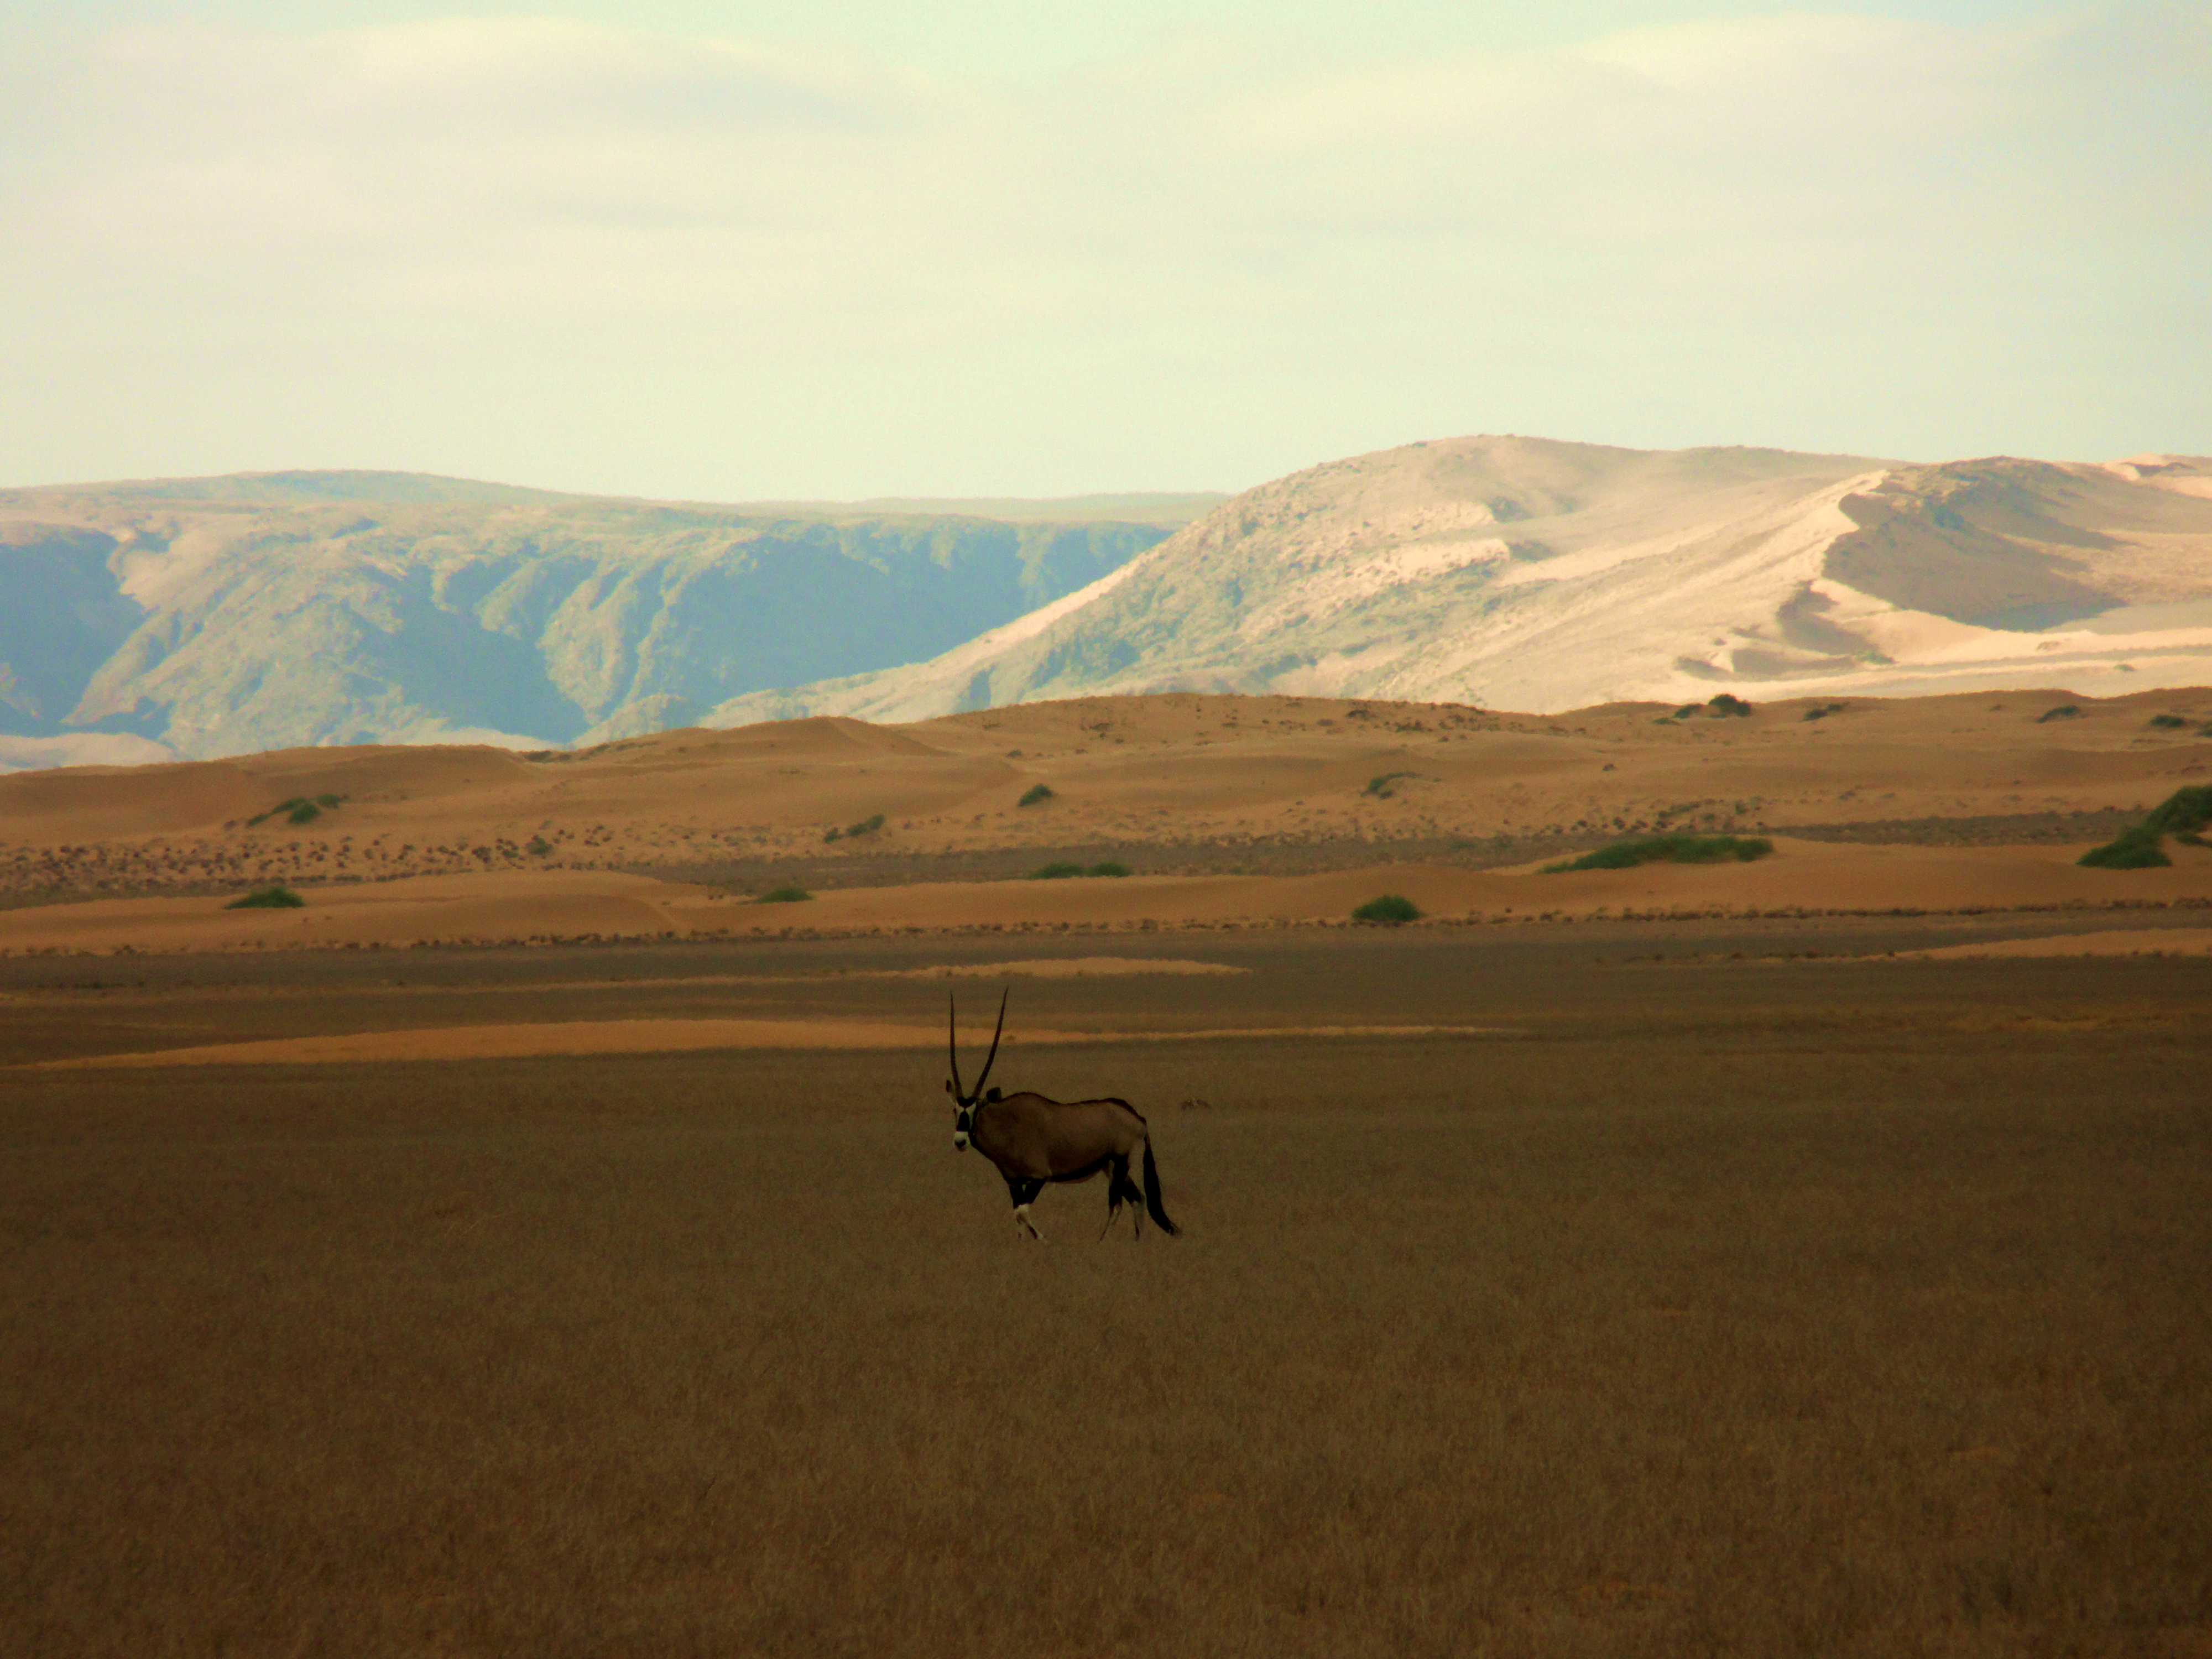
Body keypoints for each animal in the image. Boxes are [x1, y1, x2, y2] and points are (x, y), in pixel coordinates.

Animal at [946, 991, 1179, 1243]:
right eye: (955, 1110)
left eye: (976, 1110)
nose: (960, 1141)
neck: (1009, 1124)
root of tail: (1137, 1118)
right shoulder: (1014, 1182)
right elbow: (1017, 1216)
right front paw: (1022, 1244)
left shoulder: (1039, 1177)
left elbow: (1023, 1212)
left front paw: (1044, 1240)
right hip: (1112, 1168)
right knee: (1137, 1199)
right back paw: (1136, 1242)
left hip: (1120, 1163)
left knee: (1117, 1205)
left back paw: (1101, 1242)